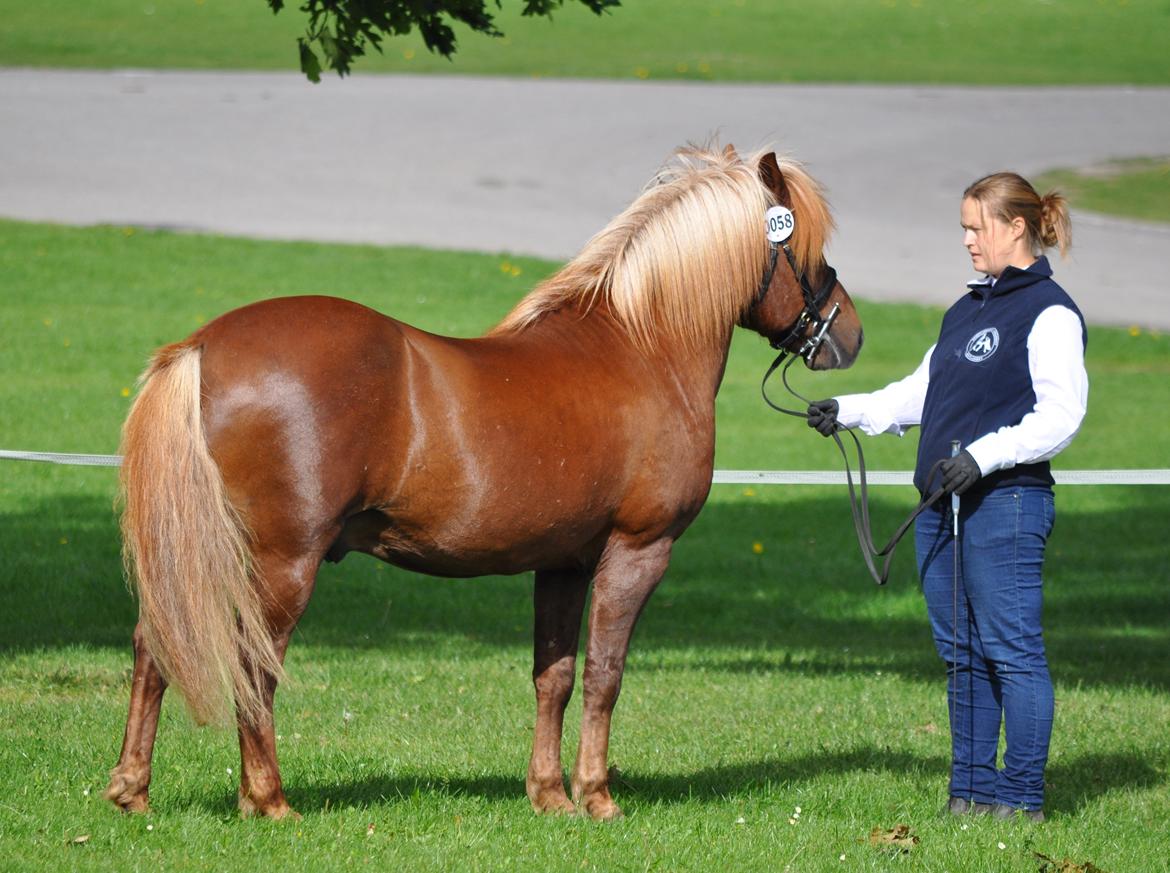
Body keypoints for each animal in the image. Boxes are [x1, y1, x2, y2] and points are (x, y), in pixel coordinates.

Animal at [107, 142, 861, 814]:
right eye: (807, 247)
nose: (847, 334)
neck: (641, 347)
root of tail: (202, 345)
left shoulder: (563, 562)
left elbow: (554, 676)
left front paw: (550, 795)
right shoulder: (637, 551)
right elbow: (604, 674)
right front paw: (597, 796)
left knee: (155, 644)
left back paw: (132, 790)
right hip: (284, 560)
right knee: (253, 663)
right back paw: (268, 800)